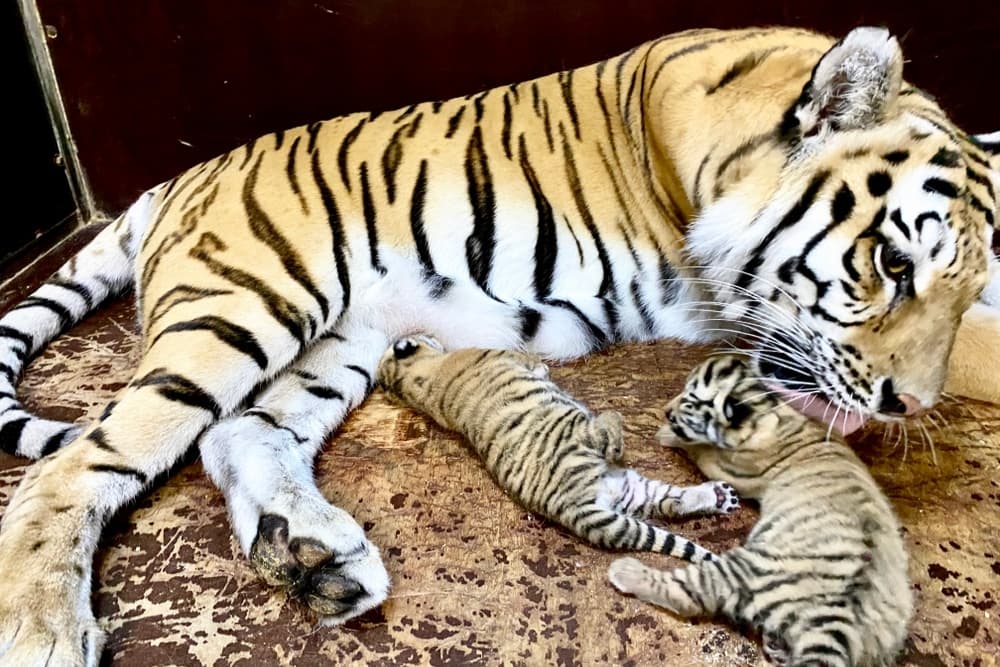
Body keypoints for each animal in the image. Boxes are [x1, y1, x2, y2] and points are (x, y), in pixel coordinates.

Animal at [376, 335, 740, 561]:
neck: (412, 383)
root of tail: (572, 508)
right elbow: (531, 360)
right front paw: (543, 367)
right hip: (587, 444)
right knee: (607, 438)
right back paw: (612, 420)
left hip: (629, 489)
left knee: (670, 503)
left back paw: (720, 496)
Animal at [609, 354, 912, 667]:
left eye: (689, 403)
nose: (665, 410)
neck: (772, 412)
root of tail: (838, 622)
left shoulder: (727, 467)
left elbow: (700, 449)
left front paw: (667, 434)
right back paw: (777, 646)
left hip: (746, 568)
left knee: (689, 592)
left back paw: (625, 570)